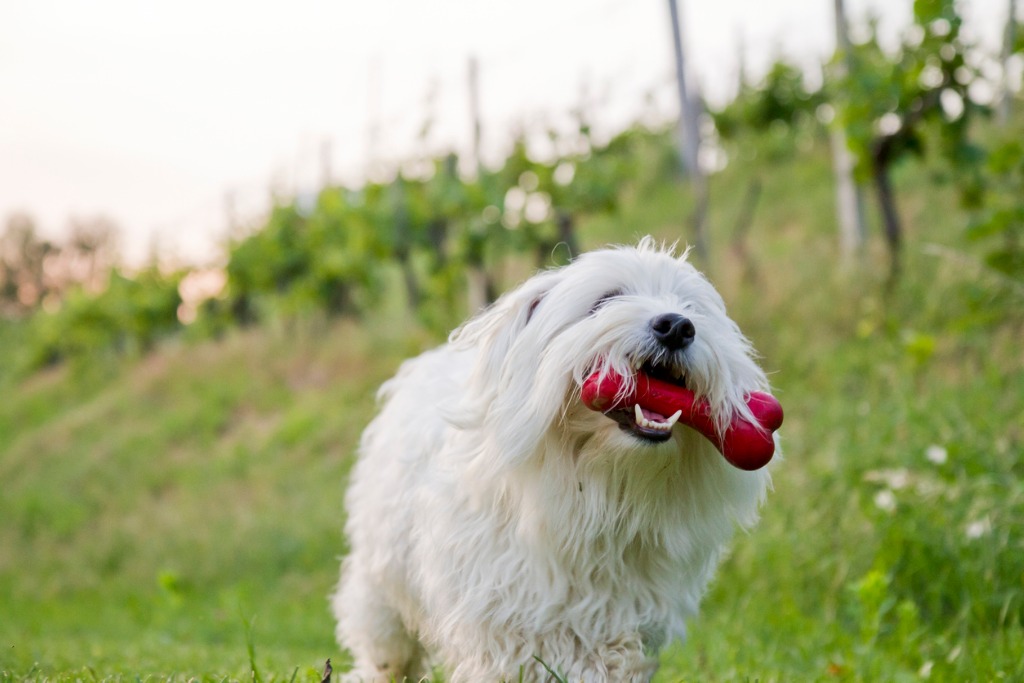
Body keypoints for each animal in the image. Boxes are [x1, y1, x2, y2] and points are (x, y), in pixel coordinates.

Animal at [331, 237, 770, 679]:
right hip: (381, 578)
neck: (596, 483)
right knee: (386, 643)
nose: (677, 326)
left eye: (691, 308)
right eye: (606, 300)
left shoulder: (624, 612)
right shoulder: (501, 605)